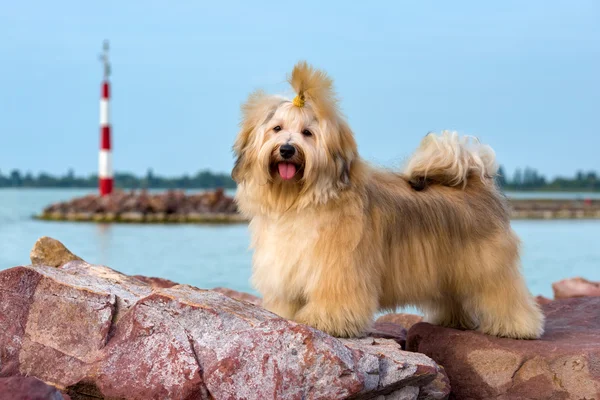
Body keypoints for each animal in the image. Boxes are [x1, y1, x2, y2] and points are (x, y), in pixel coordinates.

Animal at [232, 61, 548, 340]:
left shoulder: (339, 269)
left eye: (307, 133)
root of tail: (474, 181)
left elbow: (335, 297)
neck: (301, 200)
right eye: (277, 128)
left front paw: (328, 322)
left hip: (489, 268)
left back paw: (518, 327)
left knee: (505, 295)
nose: (287, 149)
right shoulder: (286, 270)